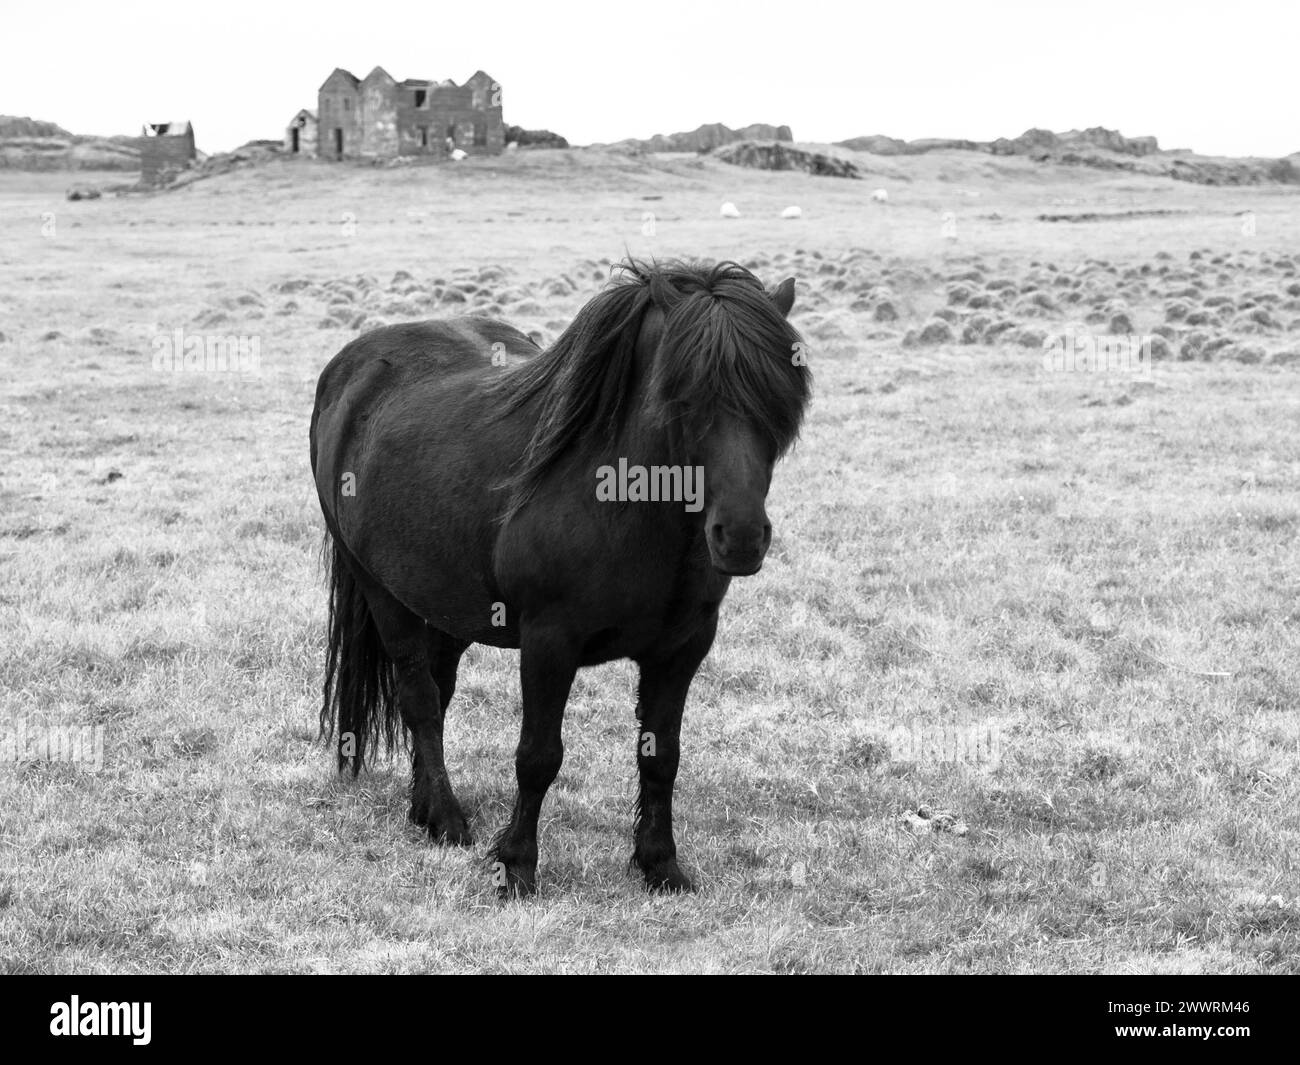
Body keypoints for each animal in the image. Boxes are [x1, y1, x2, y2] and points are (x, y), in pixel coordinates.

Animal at [309, 258, 811, 897]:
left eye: (781, 401)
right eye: (684, 398)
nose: (741, 537)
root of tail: (346, 369)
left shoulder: (682, 648)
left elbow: (661, 756)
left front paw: (660, 864)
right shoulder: (550, 642)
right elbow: (539, 755)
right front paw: (516, 866)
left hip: (445, 602)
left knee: (436, 695)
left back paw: (424, 808)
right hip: (383, 592)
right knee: (418, 698)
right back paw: (447, 819)